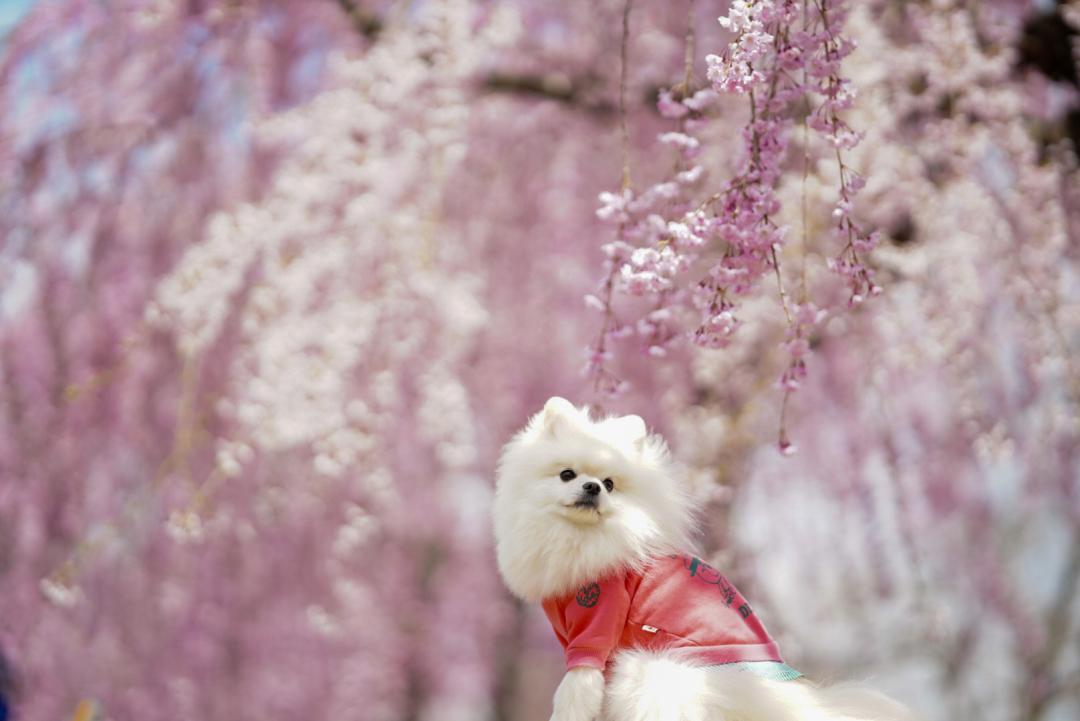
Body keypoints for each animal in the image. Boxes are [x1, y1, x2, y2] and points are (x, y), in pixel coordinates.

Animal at [494, 399, 915, 721]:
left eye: (611, 484)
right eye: (567, 475)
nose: (593, 487)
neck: (579, 536)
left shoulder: (596, 623)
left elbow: (575, 693)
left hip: (651, 670)